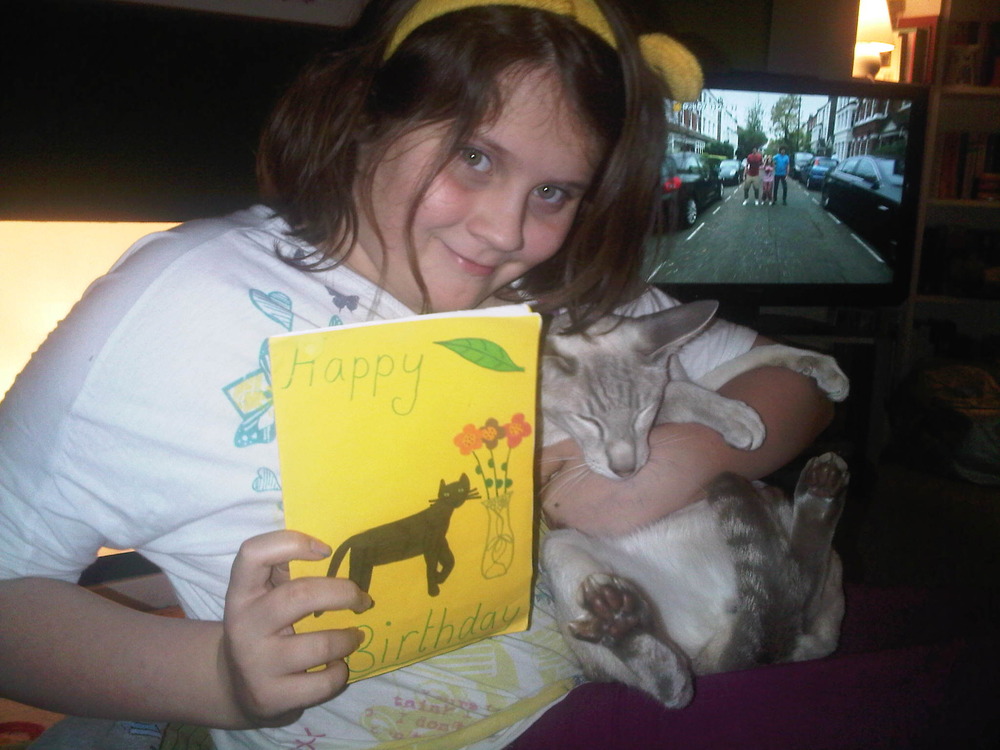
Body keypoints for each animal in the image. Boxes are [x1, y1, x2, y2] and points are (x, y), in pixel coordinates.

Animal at [323, 473, 480, 599]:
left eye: (460, 489)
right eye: (446, 494)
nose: (455, 498)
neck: (443, 514)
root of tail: (354, 538)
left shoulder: (440, 543)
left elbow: (450, 561)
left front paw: (439, 577)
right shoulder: (430, 546)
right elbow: (430, 568)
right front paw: (434, 589)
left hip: (366, 566)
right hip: (359, 562)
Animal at [539, 300, 850, 707]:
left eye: (642, 413)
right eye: (587, 420)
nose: (627, 470)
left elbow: (751, 360)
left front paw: (825, 370)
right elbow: (679, 394)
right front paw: (740, 421)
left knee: (797, 596)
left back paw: (821, 487)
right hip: (559, 547)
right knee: (677, 687)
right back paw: (621, 624)